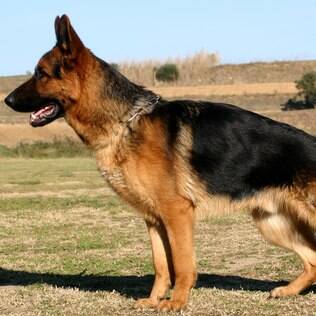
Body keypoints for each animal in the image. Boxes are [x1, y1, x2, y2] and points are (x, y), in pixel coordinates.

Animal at [3, 14, 316, 312]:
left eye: (41, 73)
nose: (7, 100)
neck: (125, 121)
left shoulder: (177, 213)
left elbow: (182, 263)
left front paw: (177, 302)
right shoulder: (154, 218)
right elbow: (162, 265)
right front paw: (154, 300)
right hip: (271, 224)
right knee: (312, 260)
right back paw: (287, 291)